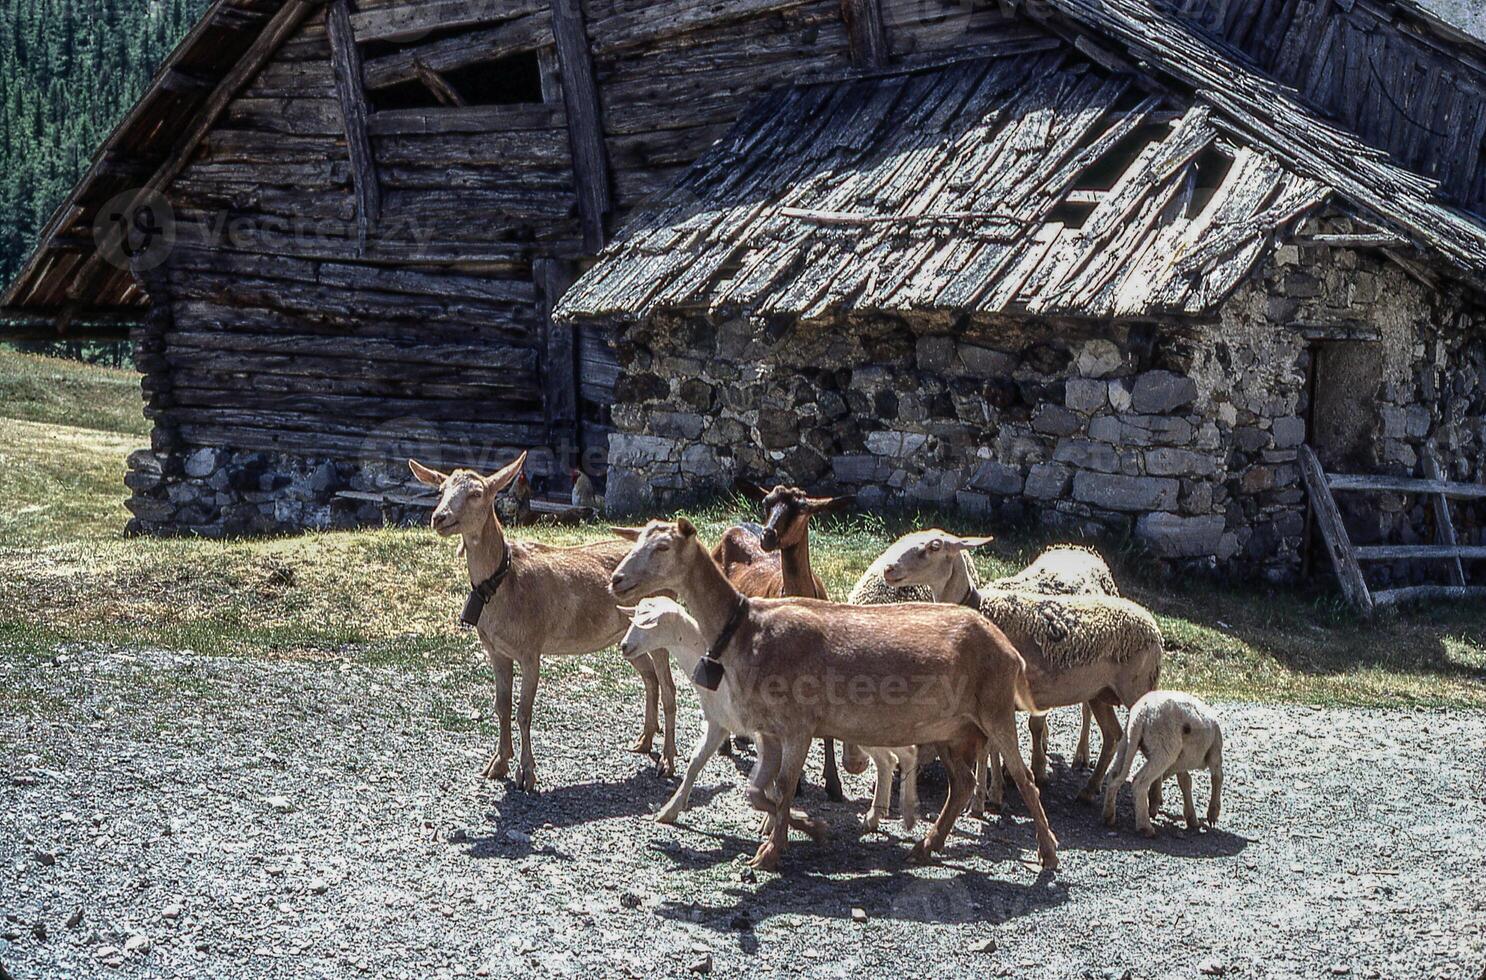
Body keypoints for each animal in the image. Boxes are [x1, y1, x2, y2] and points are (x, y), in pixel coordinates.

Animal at [413, 452, 680, 791]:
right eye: (441, 489)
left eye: (476, 493)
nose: (440, 517)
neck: (505, 585)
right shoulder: (496, 650)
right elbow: (502, 707)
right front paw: (497, 764)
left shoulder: (531, 647)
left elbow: (524, 711)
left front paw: (527, 774)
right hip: (627, 635)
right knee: (650, 678)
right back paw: (644, 741)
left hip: (659, 627)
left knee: (669, 687)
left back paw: (668, 761)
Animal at [603, 520, 1058, 874]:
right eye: (636, 541)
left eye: (662, 547)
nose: (616, 581)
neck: (746, 629)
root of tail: (1007, 647)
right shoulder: (769, 731)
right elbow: (759, 793)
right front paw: (802, 829)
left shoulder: (797, 724)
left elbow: (784, 787)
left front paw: (773, 851)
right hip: (952, 727)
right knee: (961, 785)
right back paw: (925, 846)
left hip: (994, 709)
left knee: (1024, 778)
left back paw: (1047, 854)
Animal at [1099, 690, 1224, 838]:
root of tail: (1142, 713)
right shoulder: (1215, 752)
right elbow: (1217, 777)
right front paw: (1212, 814)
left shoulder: (1180, 761)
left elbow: (1185, 782)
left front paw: (1191, 818)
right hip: (1165, 747)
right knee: (1139, 781)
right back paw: (1145, 826)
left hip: (1128, 742)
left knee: (1114, 775)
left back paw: (1108, 816)